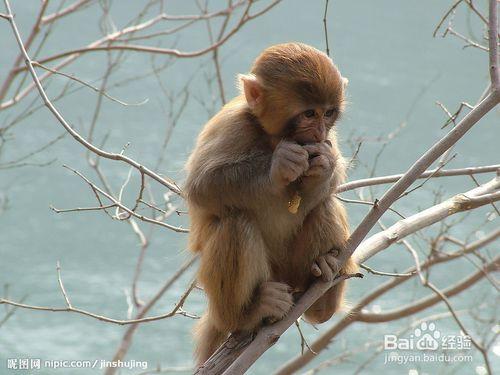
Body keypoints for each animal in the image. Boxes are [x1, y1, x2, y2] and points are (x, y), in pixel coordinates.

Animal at [186, 41, 358, 364]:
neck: (273, 137)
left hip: (293, 271)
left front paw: (325, 165)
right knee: (236, 222)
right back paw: (247, 314)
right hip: (263, 281)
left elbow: (330, 181)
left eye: (328, 113)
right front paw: (279, 165)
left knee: (324, 205)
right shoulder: (233, 125)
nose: (319, 132)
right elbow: (201, 187)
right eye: (309, 113)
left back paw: (323, 291)